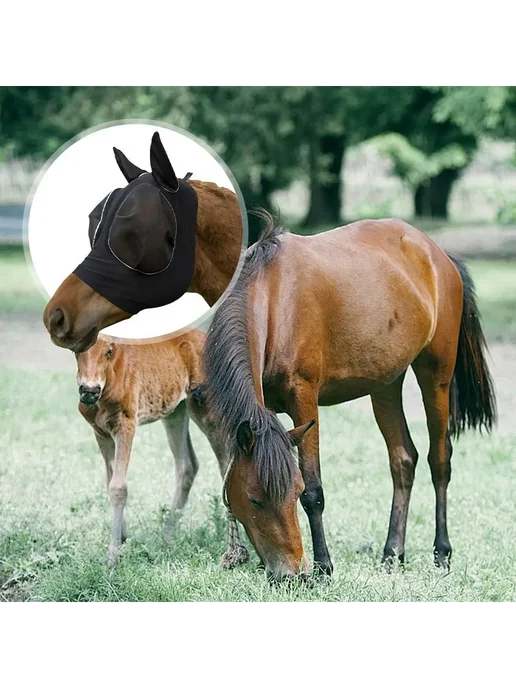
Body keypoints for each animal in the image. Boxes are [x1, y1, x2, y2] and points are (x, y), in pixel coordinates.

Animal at [75, 329, 249, 568]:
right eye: (76, 350)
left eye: (108, 351)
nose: (89, 390)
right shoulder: (100, 432)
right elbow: (109, 481)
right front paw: (122, 538)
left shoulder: (126, 424)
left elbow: (119, 487)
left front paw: (112, 557)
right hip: (176, 411)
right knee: (188, 465)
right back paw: (166, 535)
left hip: (205, 410)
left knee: (224, 464)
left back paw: (233, 546)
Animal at [201, 213, 496, 582]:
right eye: (254, 500)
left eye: (294, 492)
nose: (289, 574)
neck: (273, 300)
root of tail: (438, 255)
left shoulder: (304, 400)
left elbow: (315, 490)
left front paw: (324, 568)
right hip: (386, 384)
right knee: (403, 460)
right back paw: (392, 554)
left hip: (436, 375)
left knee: (439, 460)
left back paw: (441, 554)